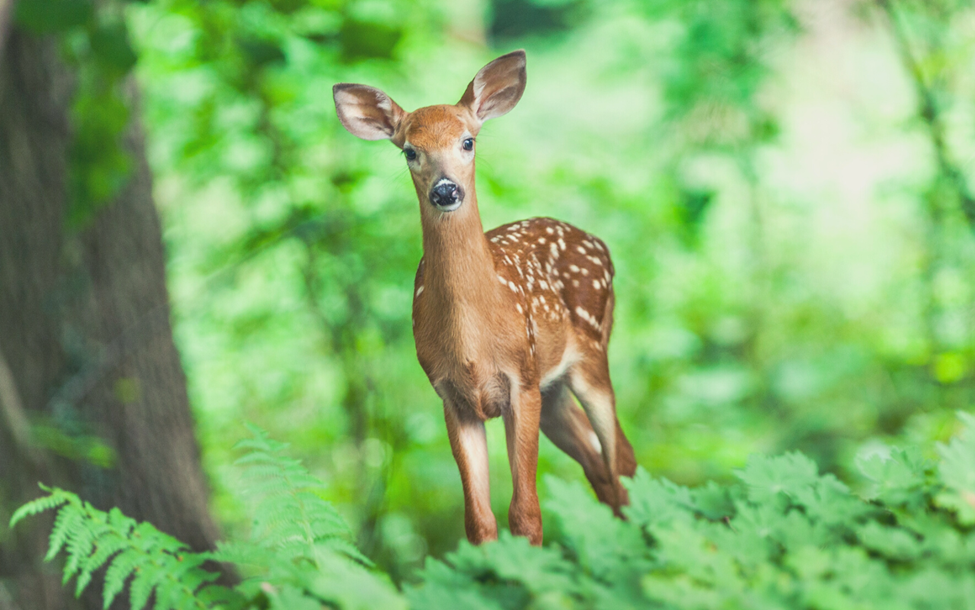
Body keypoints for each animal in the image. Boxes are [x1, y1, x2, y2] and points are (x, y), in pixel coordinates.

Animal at [333, 50, 636, 546]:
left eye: (468, 141)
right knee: (599, 466)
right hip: (554, 390)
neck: (473, 341)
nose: (445, 190)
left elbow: (526, 514)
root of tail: (599, 243)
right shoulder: (451, 396)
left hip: (590, 354)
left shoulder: (521, 381)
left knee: (622, 459)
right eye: (409, 150)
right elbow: (478, 520)